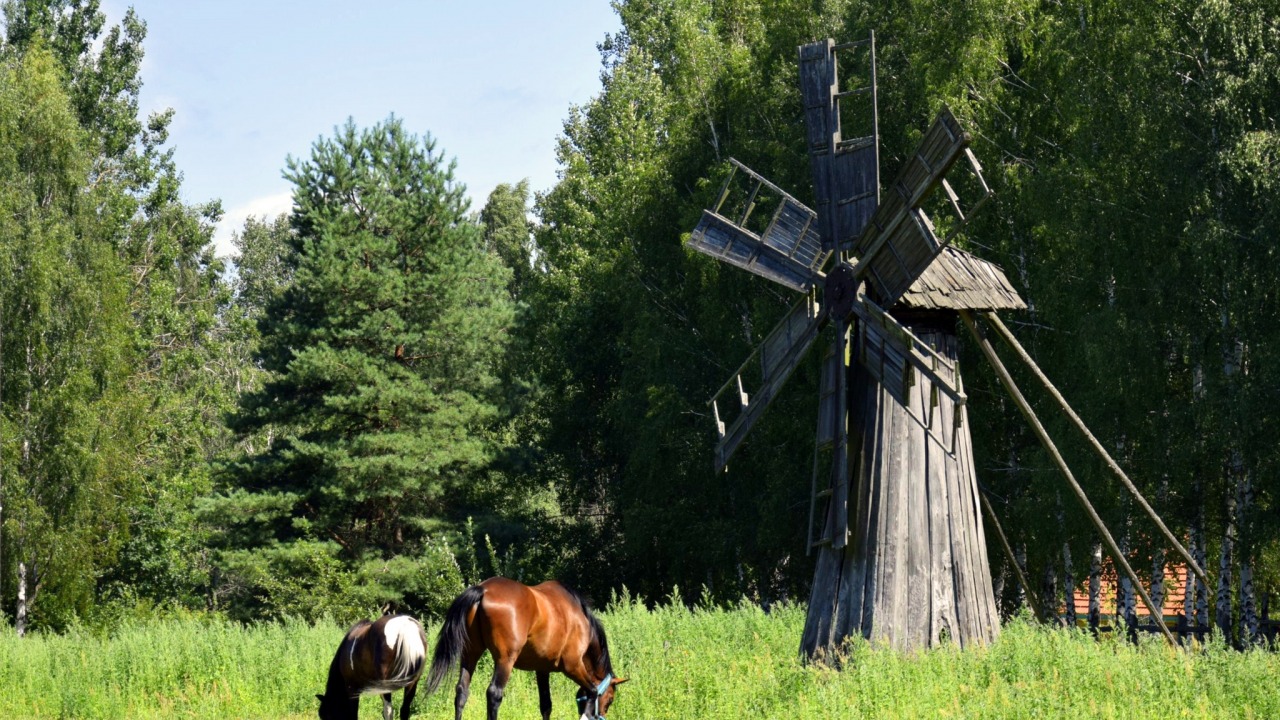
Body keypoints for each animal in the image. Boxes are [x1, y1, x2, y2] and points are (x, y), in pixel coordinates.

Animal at [427, 573, 627, 717]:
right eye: (610, 699)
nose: (603, 715)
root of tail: (483, 589)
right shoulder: (573, 666)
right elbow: (592, 692)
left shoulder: (542, 670)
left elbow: (546, 705)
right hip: (505, 660)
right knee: (494, 693)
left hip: (470, 655)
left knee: (461, 691)